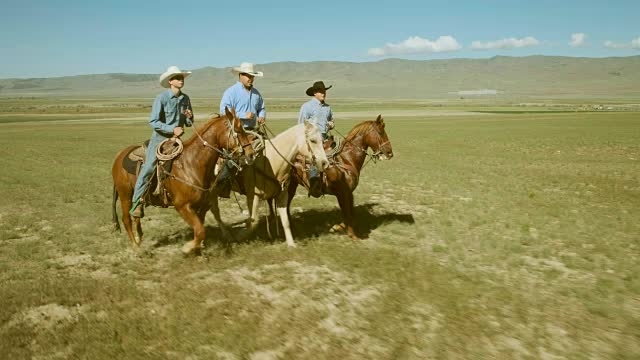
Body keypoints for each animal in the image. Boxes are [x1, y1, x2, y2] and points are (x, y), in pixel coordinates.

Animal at [112, 107, 255, 256]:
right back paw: (136, 247)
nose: (251, 154)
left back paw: (139, 237)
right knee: (126, 219)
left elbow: (200, 228)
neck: (191, 164)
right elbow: (200, 230)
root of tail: (119, 156)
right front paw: (188, 247)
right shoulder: (182, 206)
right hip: (125, 196)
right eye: (238, 130)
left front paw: (198, 248)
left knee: (136, 217)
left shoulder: (202, 205)